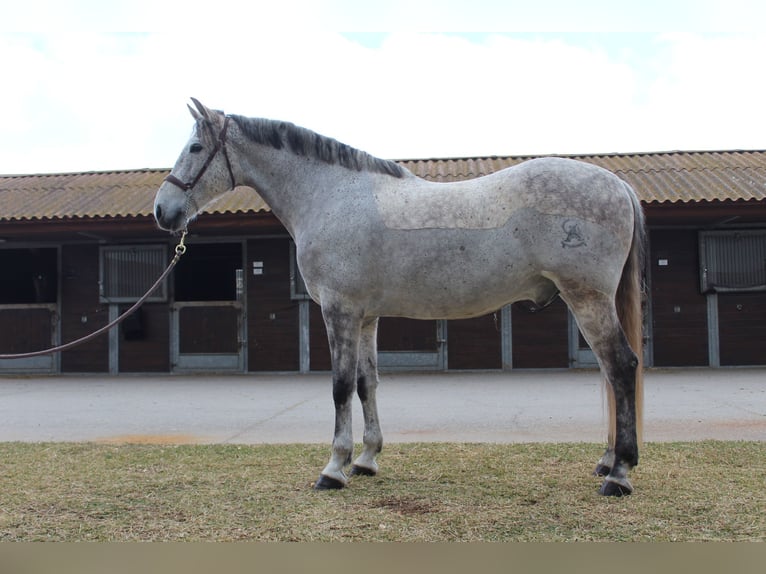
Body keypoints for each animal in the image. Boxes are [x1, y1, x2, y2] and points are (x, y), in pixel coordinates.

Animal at [156, 100, 648, 500]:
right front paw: (366, 460)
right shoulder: (366, 316)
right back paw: (607, 461)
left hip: (587, 299)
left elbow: (339, 387)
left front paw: (333, 469)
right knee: (610, 374)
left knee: (621, 368)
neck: (331, 195)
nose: (164, 211)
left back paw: (619, 474)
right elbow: (365, 384)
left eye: (195, 148)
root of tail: (619, 186)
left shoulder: (339, 311)